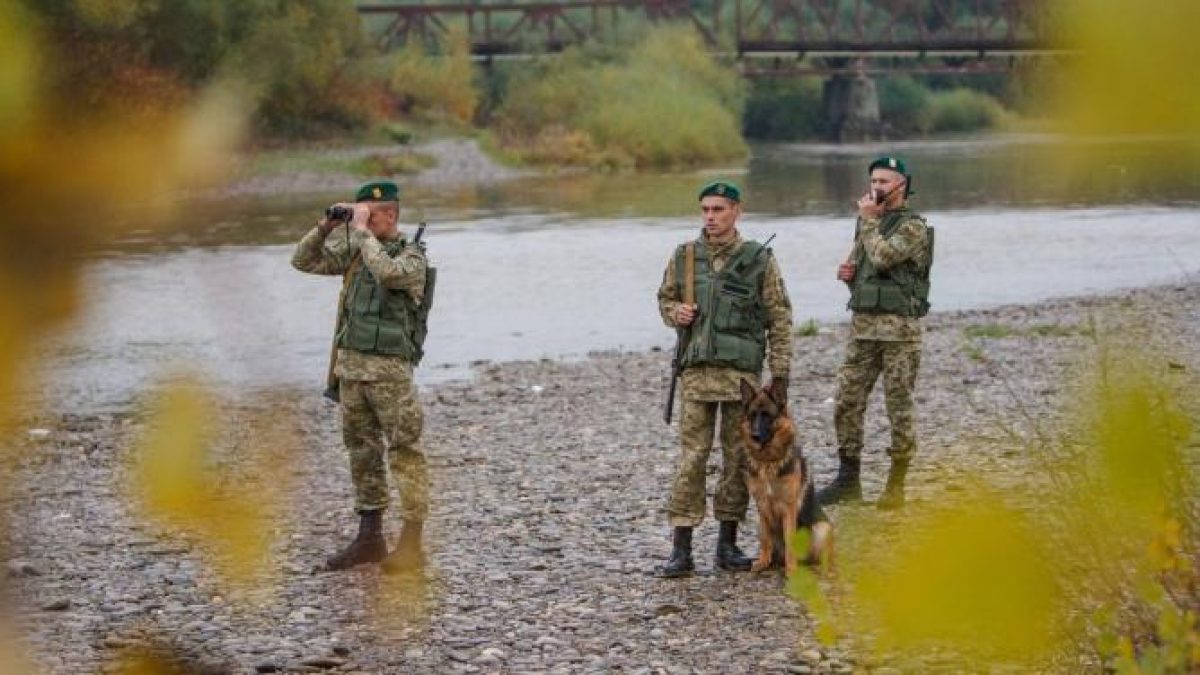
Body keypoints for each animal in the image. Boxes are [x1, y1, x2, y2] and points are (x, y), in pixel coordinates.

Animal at [734, 379, 830, 571]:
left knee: (822, 556)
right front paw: (763, 562)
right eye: (752, 415)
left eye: (767, 416)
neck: (768, 461)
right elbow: (765, 538)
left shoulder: (788, 507)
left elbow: (790, 541)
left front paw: (791, 570)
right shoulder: (762, 505)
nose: (755, 436)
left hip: (823, 527)